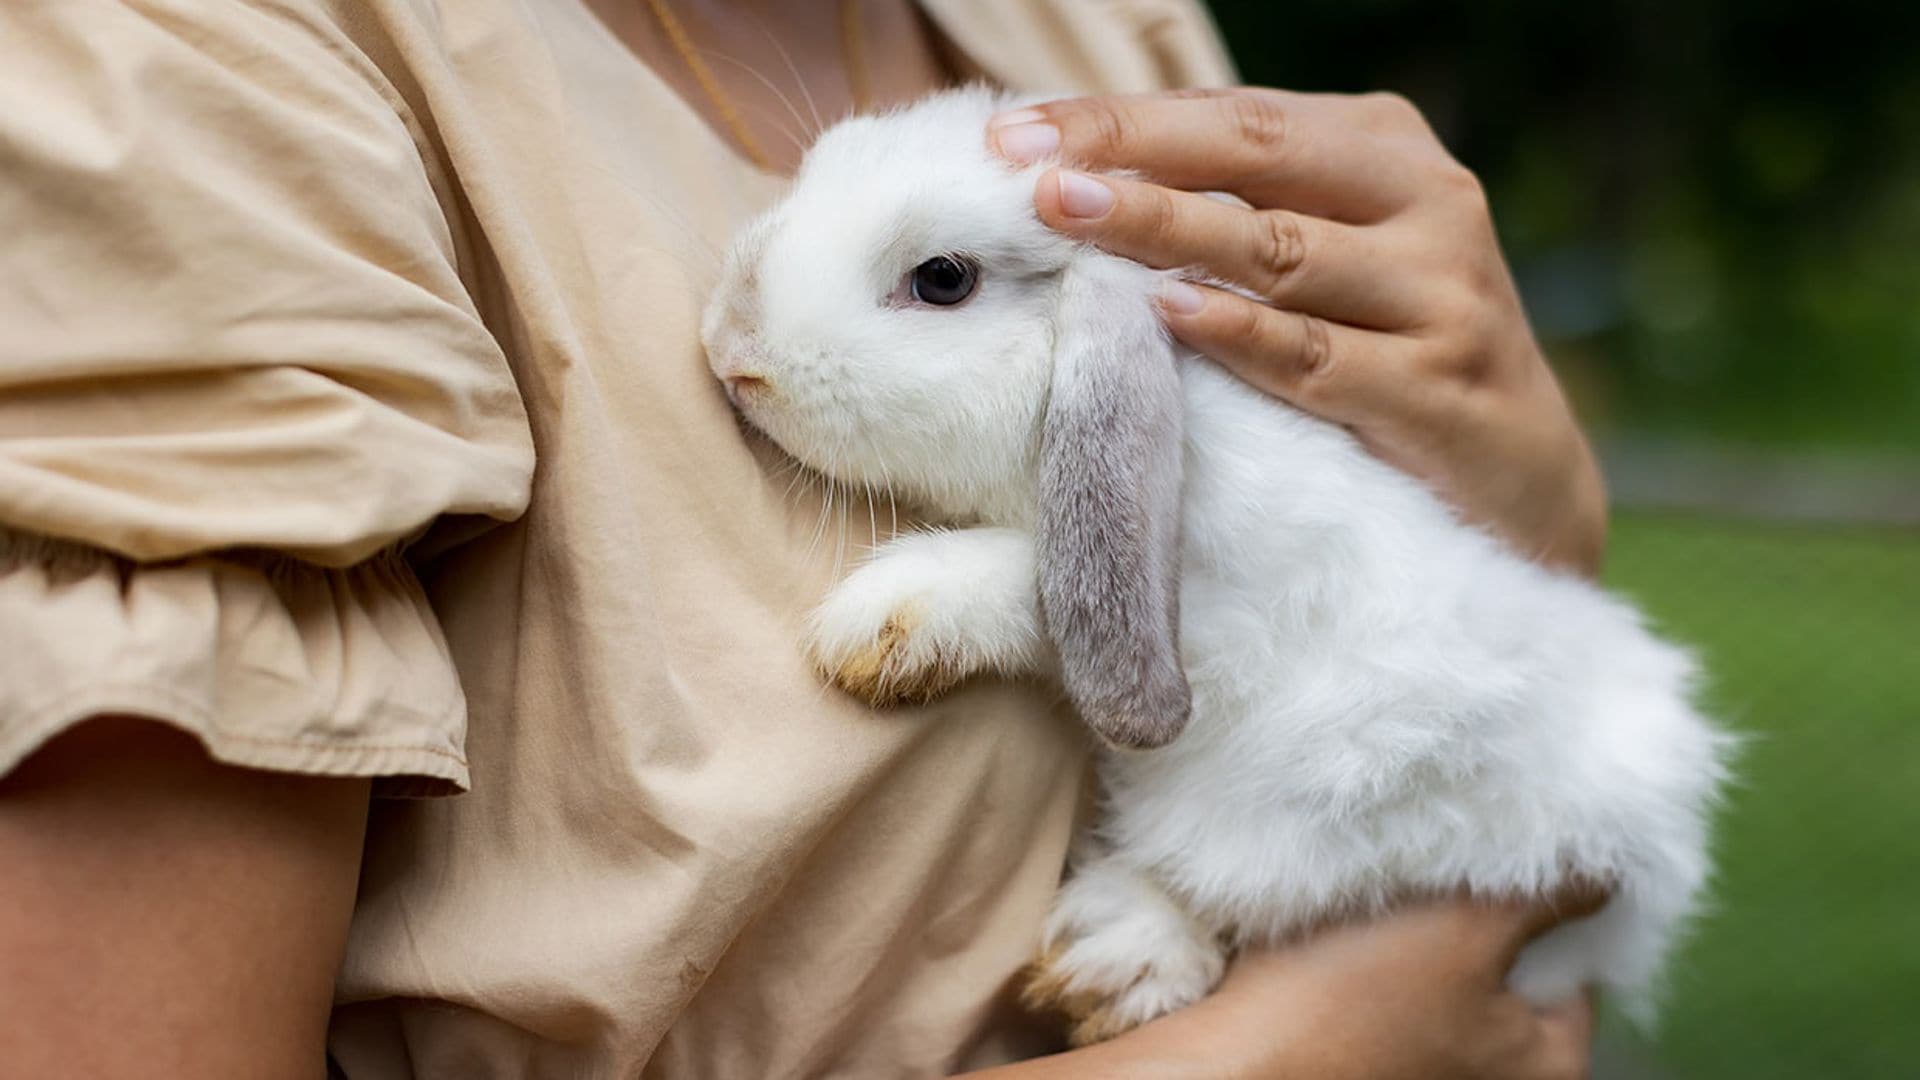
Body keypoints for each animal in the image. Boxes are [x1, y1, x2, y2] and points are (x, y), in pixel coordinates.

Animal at [698, 85, 1735, 1045]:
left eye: (943, 279)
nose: (732, 346)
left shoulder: (1234, 612)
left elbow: (1042, 579)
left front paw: (878, 622)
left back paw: (1115, 958)